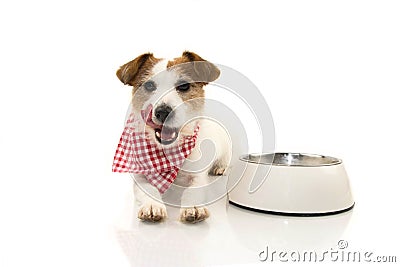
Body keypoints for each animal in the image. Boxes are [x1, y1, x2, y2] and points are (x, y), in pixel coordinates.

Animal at [113, 51, 231, 224]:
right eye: (149, 85)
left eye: (184, 86)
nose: (163, 112)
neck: (168, 153)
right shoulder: (140, 178)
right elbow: (149, 189)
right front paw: (152, 205)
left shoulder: (197, 177)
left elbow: (192, 191)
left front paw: (193, 207)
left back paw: (220, 167)